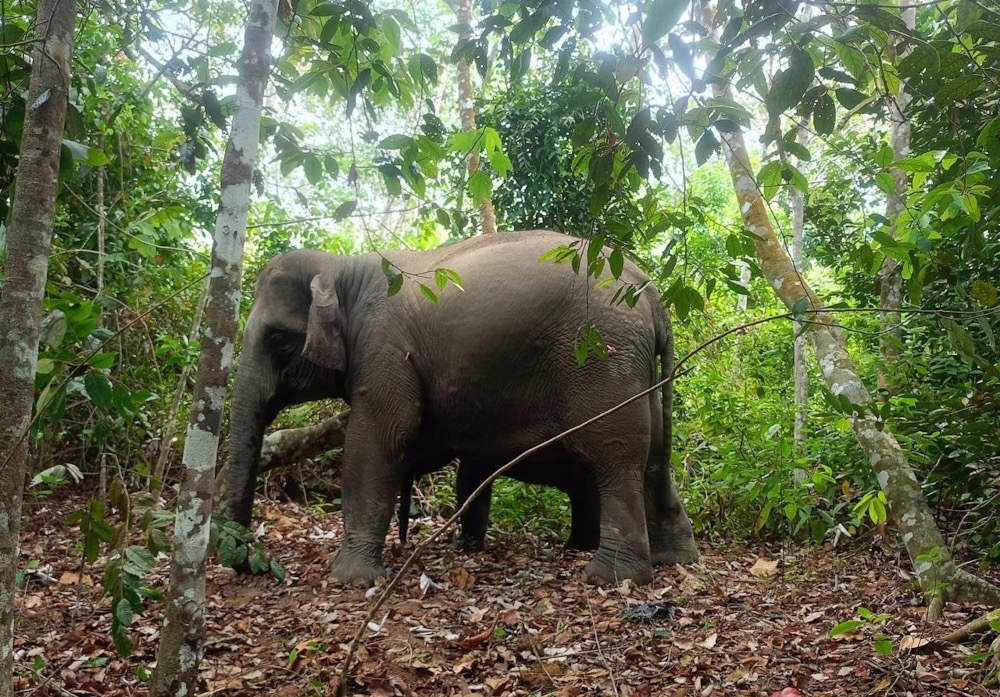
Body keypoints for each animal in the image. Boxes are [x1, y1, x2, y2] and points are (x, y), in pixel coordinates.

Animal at [218, 229, 698, 585]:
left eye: (280, 341)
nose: (249, 564)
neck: (342, 266)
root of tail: (654, 295)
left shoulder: (382, 347)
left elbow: (381, 437)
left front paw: (350, 580)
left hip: (601, 354)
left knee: (613, 456)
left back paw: (612, 577)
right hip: (637, 369)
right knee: (653, 454)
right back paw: (674, 559)